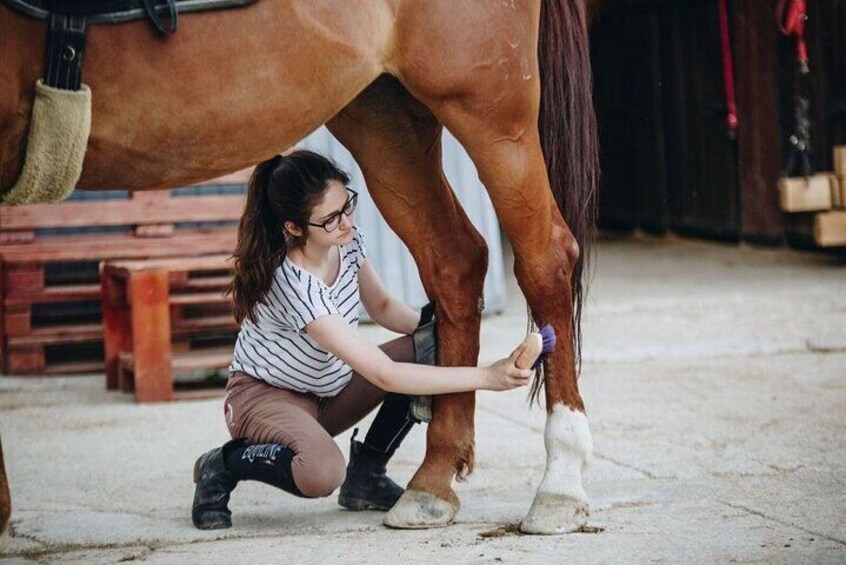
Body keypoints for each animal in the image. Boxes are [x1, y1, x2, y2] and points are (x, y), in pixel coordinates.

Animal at [3, 0, 608, 532]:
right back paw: (430, 483)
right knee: (454, 261)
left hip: (488, 108)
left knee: (544, 259)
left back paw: (559, 486)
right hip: (383, 110)